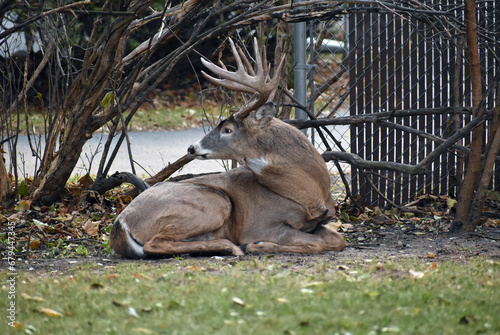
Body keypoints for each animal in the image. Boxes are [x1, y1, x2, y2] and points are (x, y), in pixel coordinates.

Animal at [109, 38, 344, 260]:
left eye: (228, 129)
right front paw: (257, 245)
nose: (192, 147)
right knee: (155, 243)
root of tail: (121, 224)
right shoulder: (261, 224)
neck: (312, 195)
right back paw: (231, 246)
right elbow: (317, 243)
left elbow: (337, 240)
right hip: (215, 202)